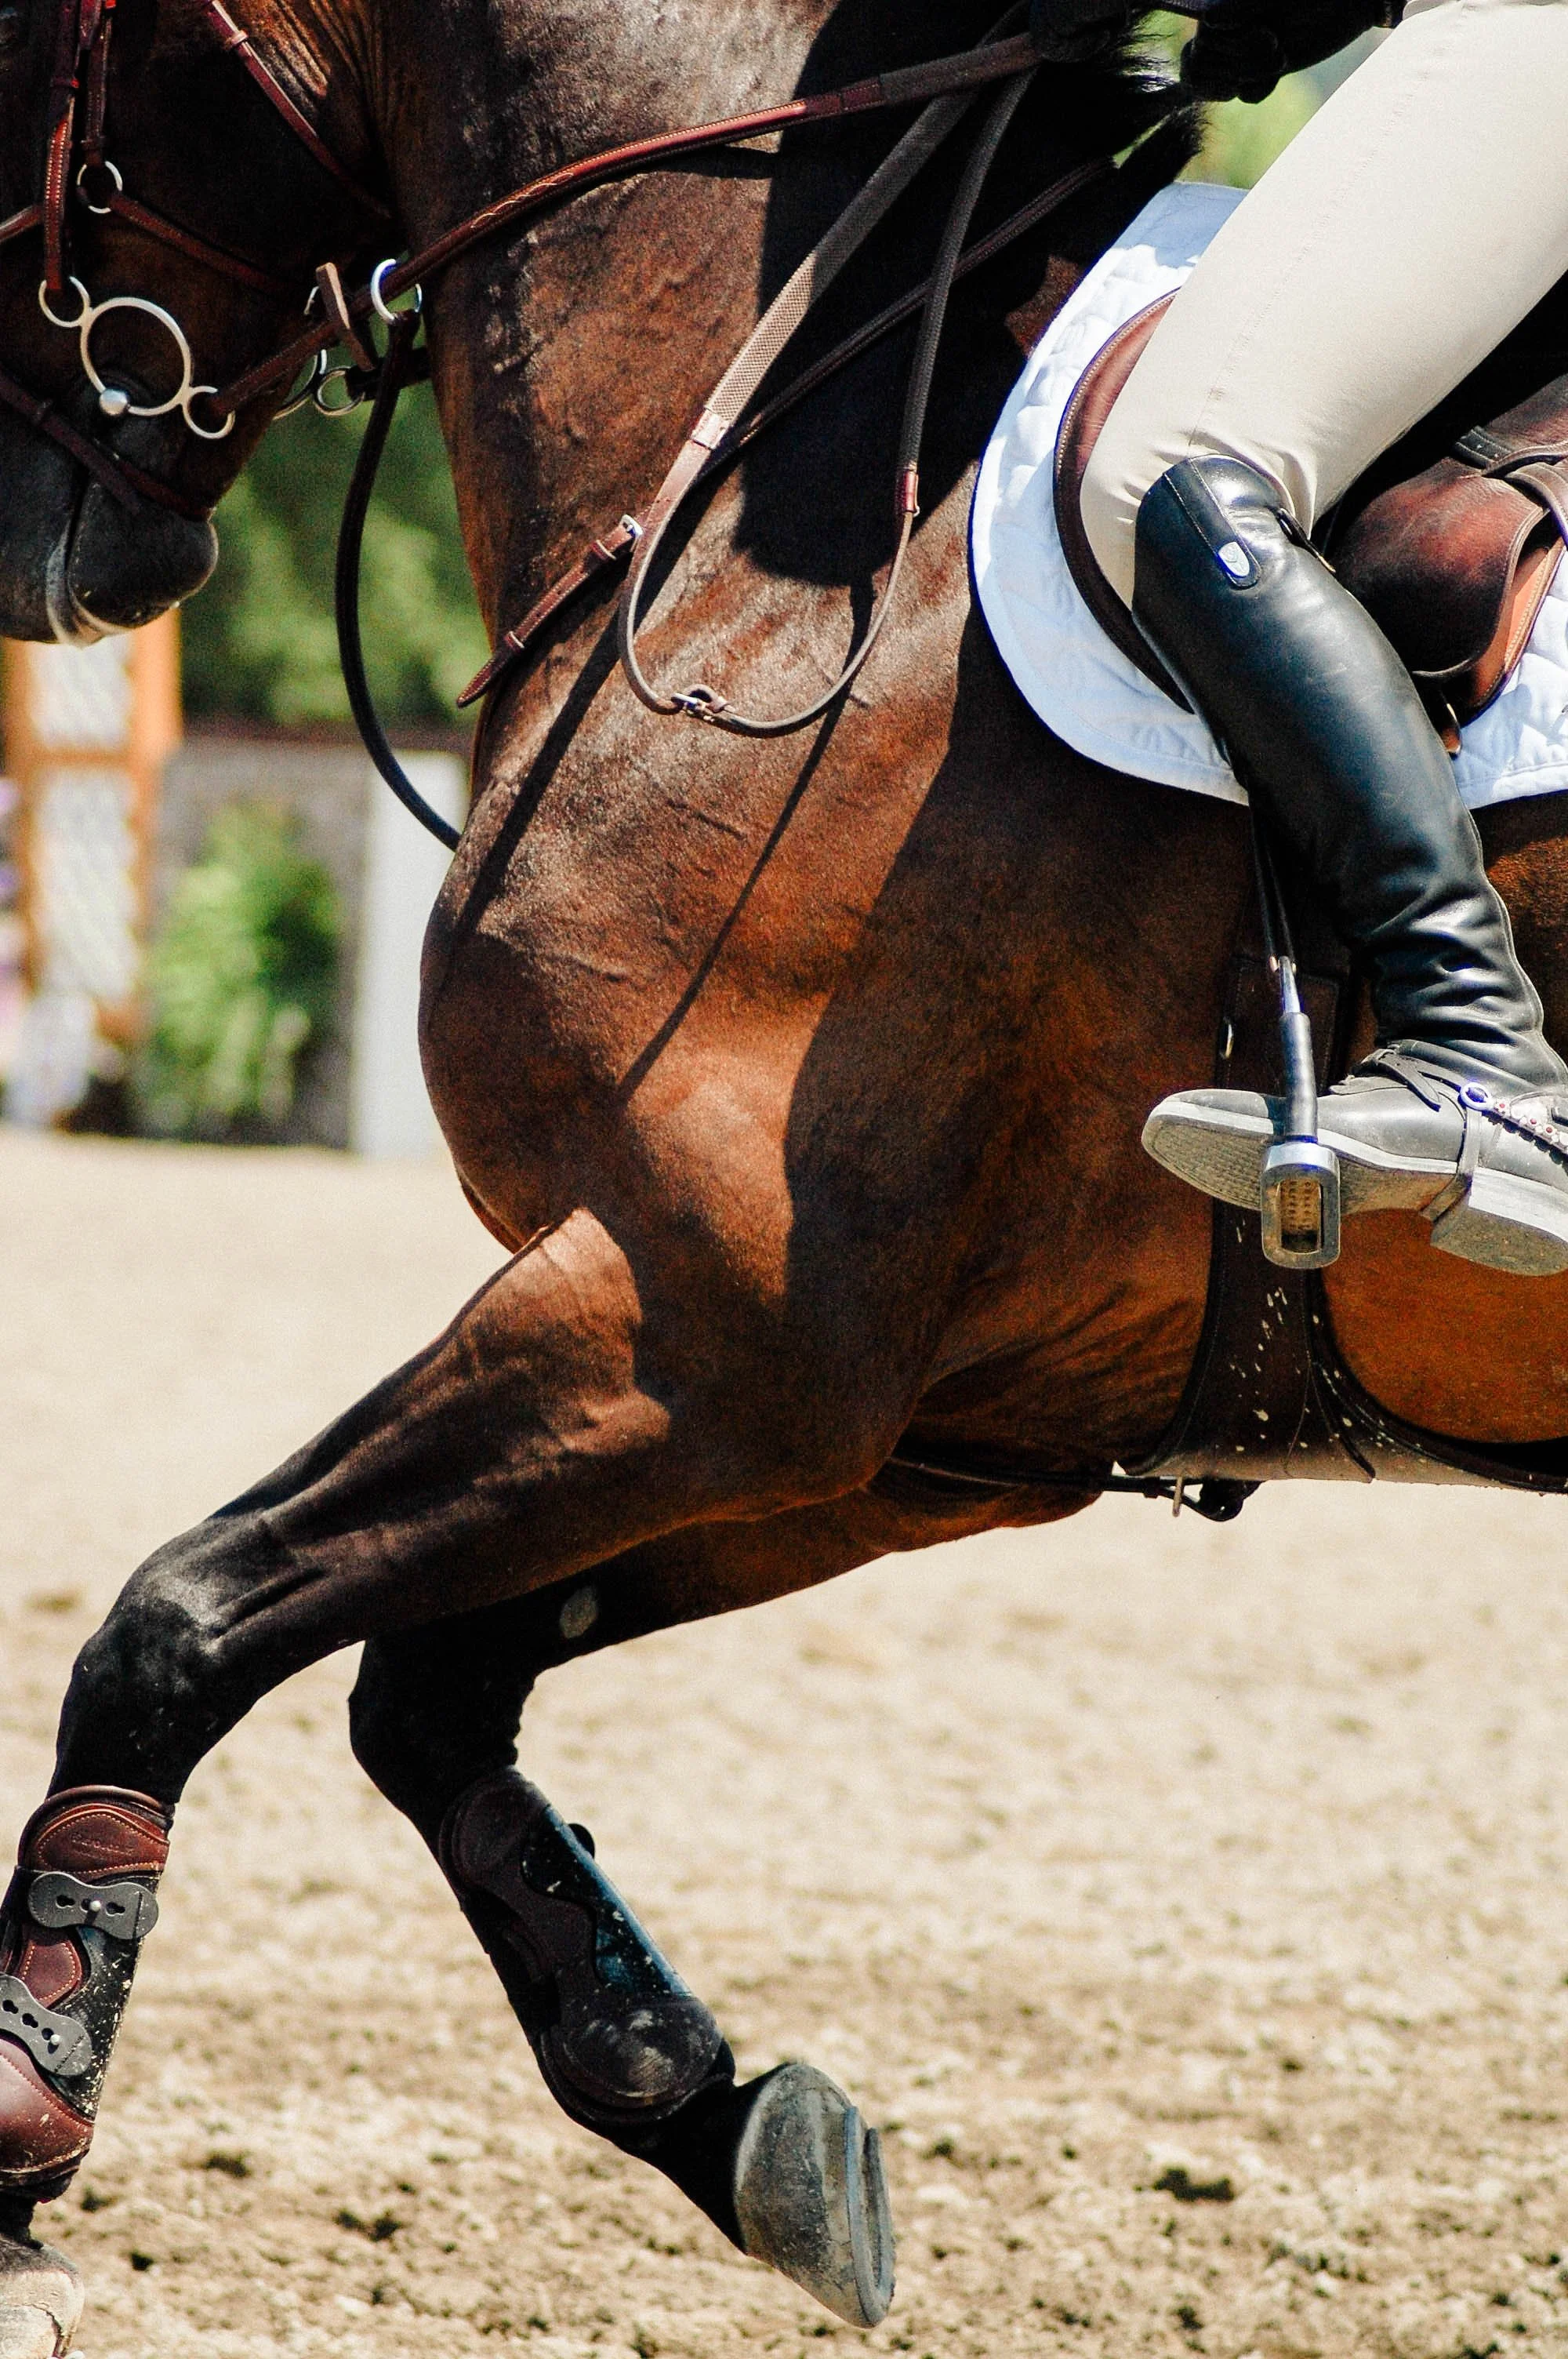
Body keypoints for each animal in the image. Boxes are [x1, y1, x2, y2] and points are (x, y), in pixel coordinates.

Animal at [3, 0, 1568, 2343]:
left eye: (32, 40)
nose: (34, 523)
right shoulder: (913, 1433)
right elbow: (421, 1691)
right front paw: (717, 2107)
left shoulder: (705, 1325)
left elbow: (175, 1624)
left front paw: (26, 2115)